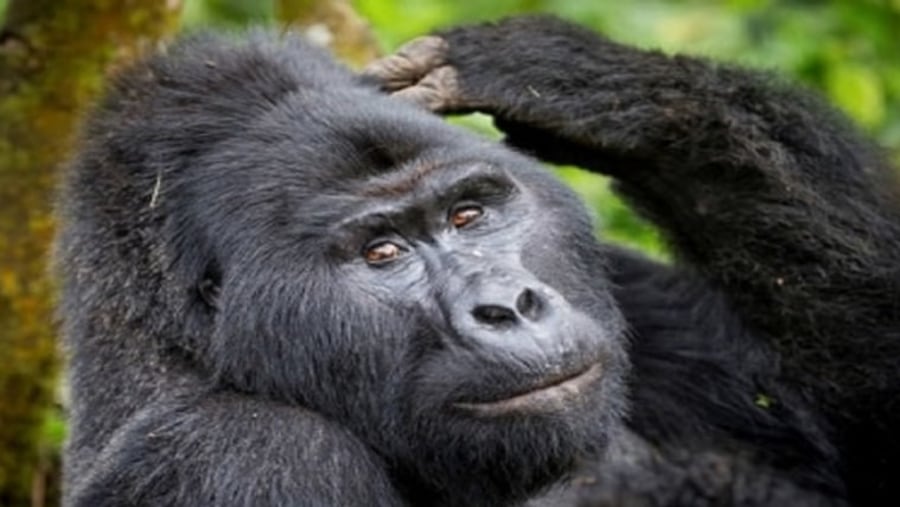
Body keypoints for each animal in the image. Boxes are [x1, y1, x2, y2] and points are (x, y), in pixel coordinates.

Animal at [58, 13, 900, 506]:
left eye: (469, 213)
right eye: (382, 251)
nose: (509, 306)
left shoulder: (627, 291)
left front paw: (594, 85)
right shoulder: (241, 452)